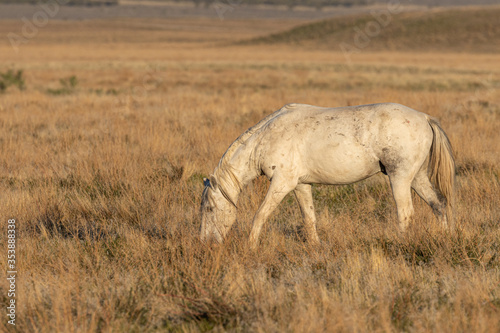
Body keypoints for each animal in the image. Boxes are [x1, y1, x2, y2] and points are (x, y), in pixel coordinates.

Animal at [199, 102, 454, 248]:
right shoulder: (301, 185)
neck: (265, 138)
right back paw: (444, 237)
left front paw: (251, 246)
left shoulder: (282, 183)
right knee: (438, 204)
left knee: (405, 213)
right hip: (417, 177)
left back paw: (398, 243)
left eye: (209, 209)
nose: (205, 243)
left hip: (399, 177)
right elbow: (309, 218)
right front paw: (315, 247)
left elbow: (260, 215)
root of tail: (424, 117)